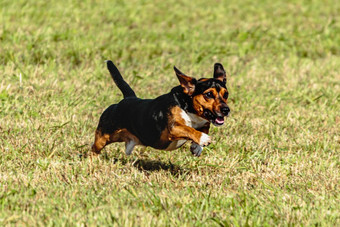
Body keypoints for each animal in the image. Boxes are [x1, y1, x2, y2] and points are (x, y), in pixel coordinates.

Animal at [90, 60, 230, 156]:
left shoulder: (204, 123)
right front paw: (202, 138)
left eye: (226, 94)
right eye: (209, 94)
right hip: (103, 137)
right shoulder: (173, 128)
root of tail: (128, 98)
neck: (189, 110)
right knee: (93, 148)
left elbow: (204, 128)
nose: (226, 110)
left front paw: (197, 146)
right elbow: (189, 129)